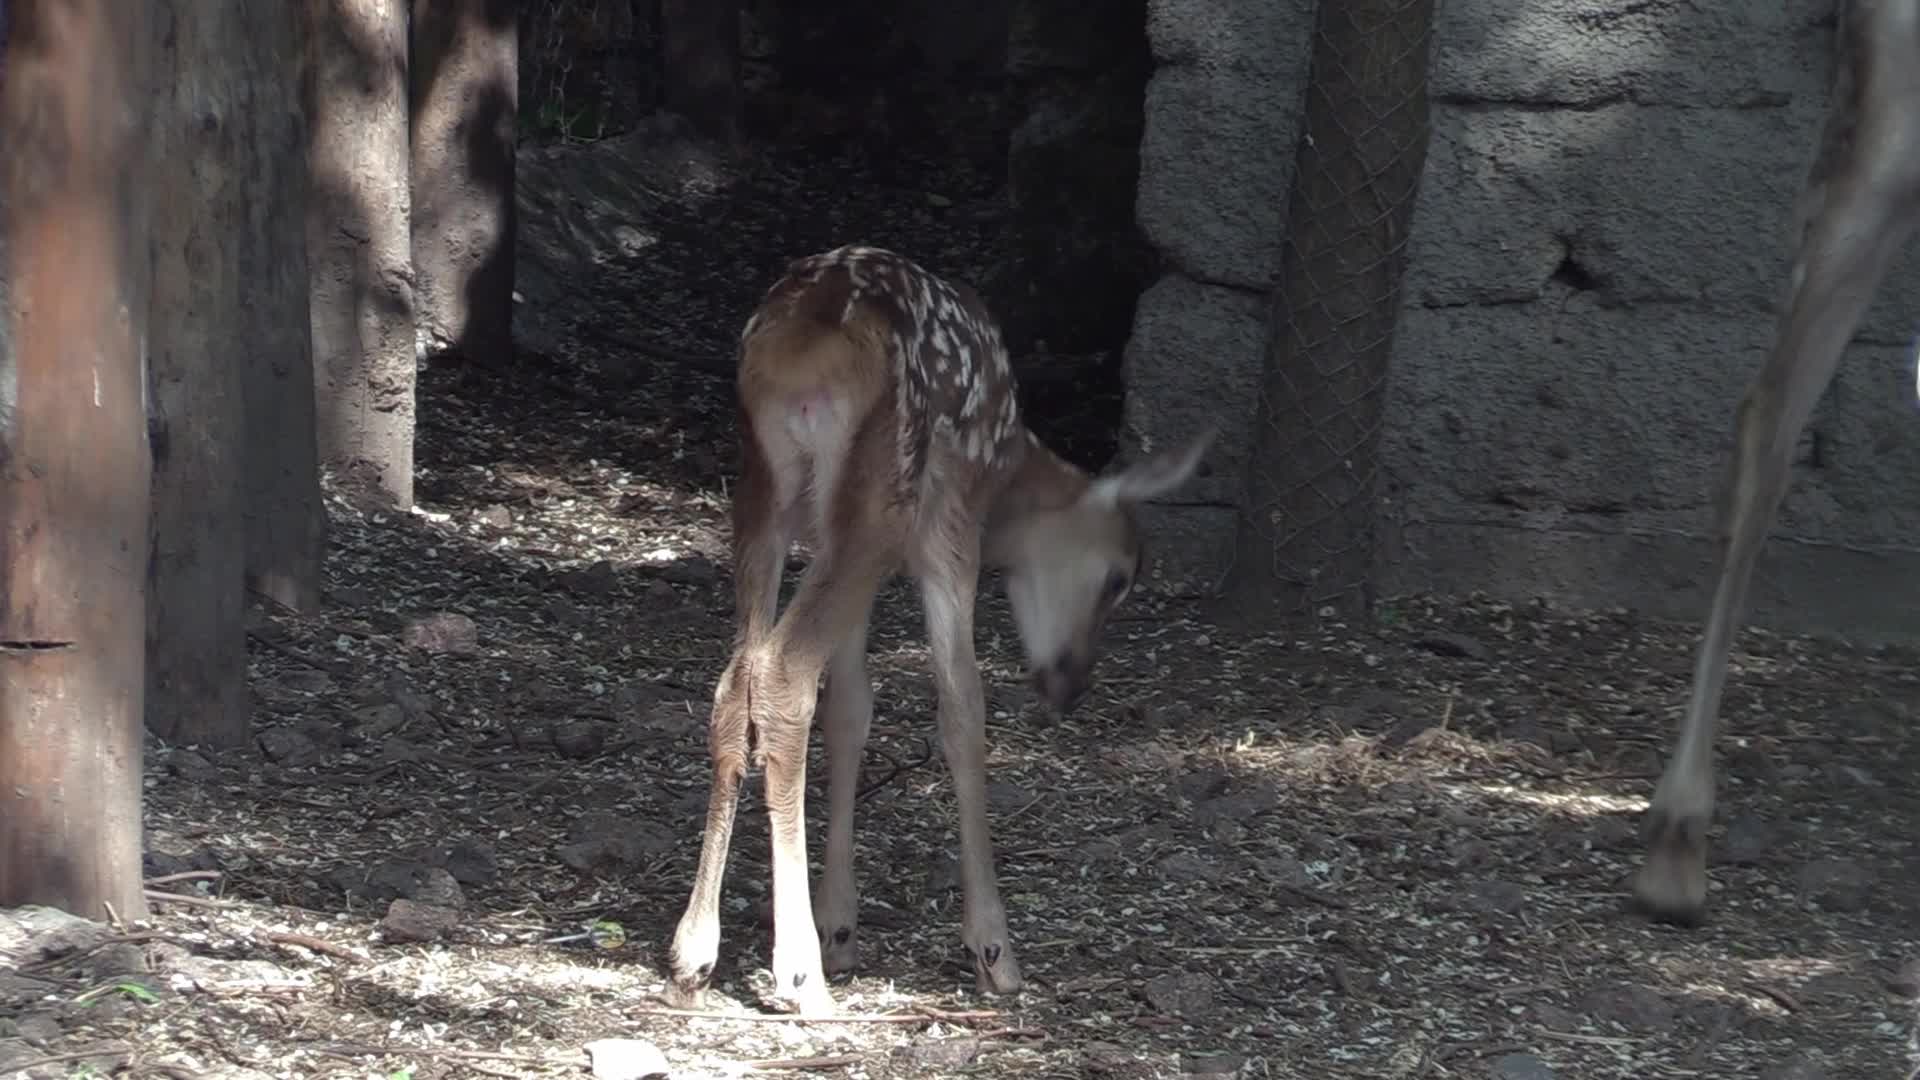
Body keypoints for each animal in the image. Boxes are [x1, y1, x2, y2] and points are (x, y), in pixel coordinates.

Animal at [665, 244, 1213, 1016]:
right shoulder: (951, 526)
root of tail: (804, 350)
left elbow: (852, 707)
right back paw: (798, 975)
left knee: (736, 678)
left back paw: (695, 953)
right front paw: (993, 948)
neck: (1011, 464)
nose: (1072, 683)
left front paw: (842, 925)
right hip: (882, 496)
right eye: (1120, 578)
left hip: (766, 493)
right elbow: (961, 707)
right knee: (781, 672)